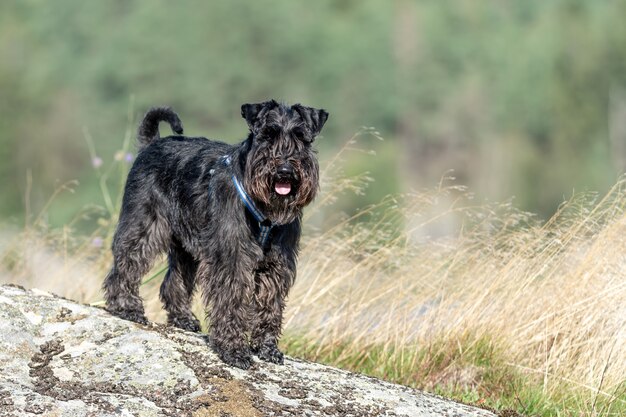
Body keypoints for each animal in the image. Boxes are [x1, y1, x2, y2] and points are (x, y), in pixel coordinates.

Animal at [102, 101, 326, 368]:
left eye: (301, 137)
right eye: (267, 135)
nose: (284, 170)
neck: (264, 209)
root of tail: (152, 144)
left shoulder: (277, 264)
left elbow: (270, 306)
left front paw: (267, 348)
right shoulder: (231, 259)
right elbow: (231, 301)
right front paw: (234, 350)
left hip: (185, 247)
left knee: (173, 282)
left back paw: (183, 319)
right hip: (144, 225)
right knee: (126, 264)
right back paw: (126, 307)